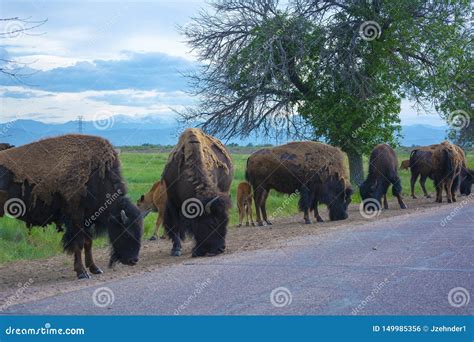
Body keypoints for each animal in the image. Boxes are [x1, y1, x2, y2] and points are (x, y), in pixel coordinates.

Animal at [0, 134, 143, 278]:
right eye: (127, 233)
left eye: (140, 232)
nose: (134, 260)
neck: (96, 179)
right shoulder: (76, 218)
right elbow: (78, 243)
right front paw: (82, 272)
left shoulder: (87, 219)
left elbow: (88, 242)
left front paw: (95, 269)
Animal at [161, 128, 233, 256]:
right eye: (211, 223)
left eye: (226, 222)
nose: (220, 249)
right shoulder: (172, 200)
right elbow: (175, 224)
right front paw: (176, 249)